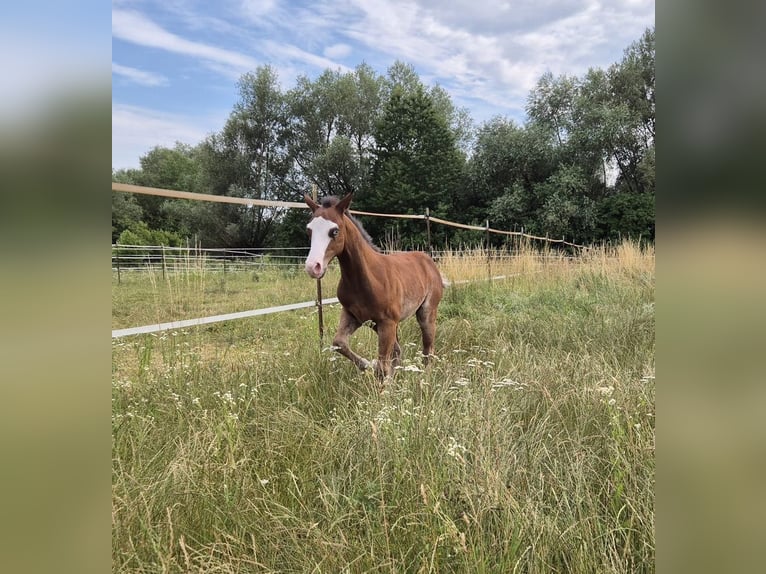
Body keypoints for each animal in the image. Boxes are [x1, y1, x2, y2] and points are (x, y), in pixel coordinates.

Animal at [303, 193, 444, 380]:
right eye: (309, 230)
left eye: (334, 231)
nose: (313, 267)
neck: (367, 279)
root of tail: (428, 260)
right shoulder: (354, 316)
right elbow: (339, 343)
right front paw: (368, 365)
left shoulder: (387, 322)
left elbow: (383, 364)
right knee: (398, 350)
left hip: (426, 313)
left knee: (428, 347)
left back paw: (424, 378)